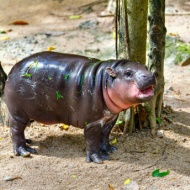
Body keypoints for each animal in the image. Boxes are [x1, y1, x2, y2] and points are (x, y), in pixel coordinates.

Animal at [3, 51, 156, 163]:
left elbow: (105, 135)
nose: (150, 75)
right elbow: (92, 140)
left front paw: (109, 149)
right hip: (18, 112)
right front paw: (98, 159)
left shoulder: (110, 118)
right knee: (15, 130)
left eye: (146, 67)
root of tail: (13, 69)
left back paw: (28, 142)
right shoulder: (92, 123)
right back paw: (25, 151)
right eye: (128, 73)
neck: (104, 80)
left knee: (19, 130)